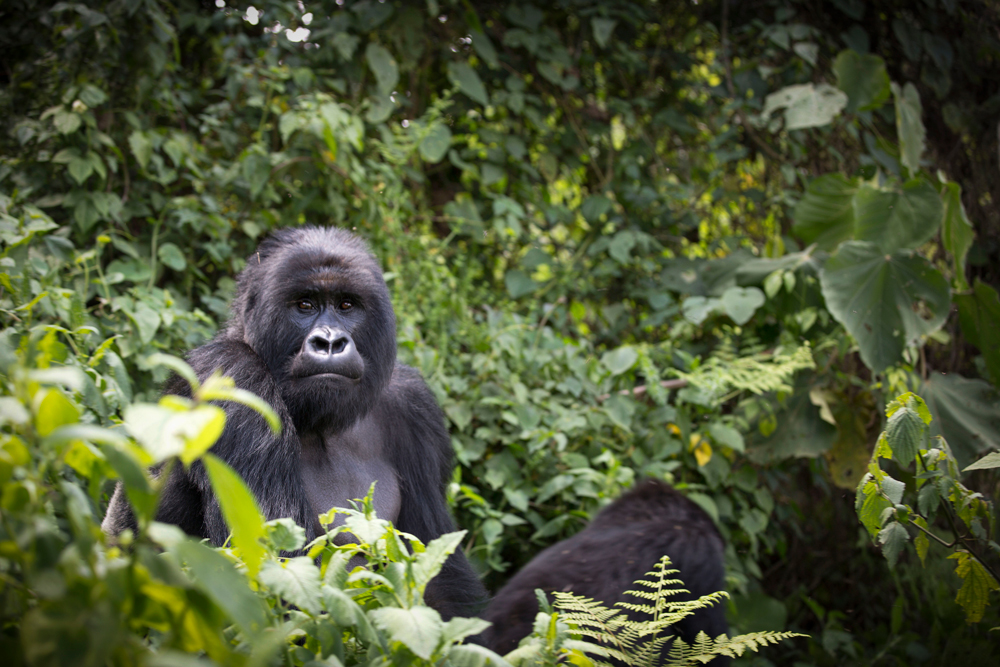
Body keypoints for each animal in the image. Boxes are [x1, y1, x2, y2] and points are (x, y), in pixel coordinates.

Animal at [103, 227, 486, 620]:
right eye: (305, 305)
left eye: (346, 305)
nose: (330, 342)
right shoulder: (233, 376)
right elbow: (278, 571)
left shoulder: (415, 406)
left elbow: (441, 574)